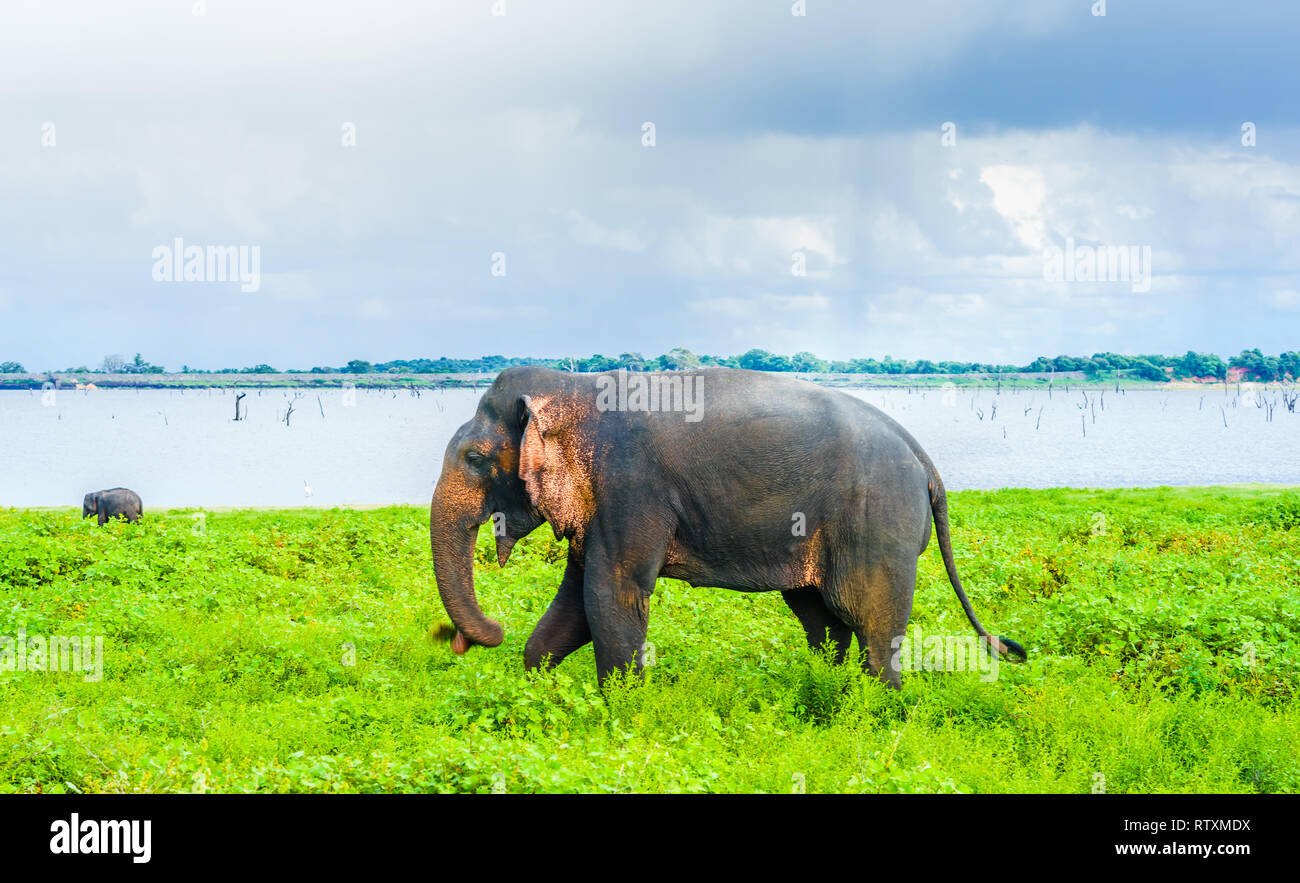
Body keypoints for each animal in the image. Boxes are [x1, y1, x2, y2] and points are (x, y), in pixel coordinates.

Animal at [428, 366, 1024, 691]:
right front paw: (538, 683)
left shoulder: (630, 487)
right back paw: (829, 689)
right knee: (822, 618)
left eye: (476, 459)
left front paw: (621, 711)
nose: (460, 639)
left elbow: (611, 593)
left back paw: (878, 707)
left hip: (879, 522)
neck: (575, 386)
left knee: (868, 620)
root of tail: (923, 459)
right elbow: (575, 601)